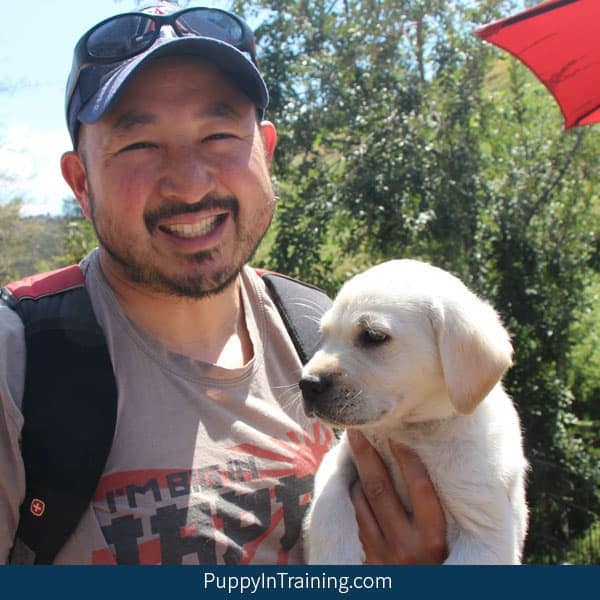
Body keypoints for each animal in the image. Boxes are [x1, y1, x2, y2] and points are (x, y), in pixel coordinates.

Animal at [302, 258, 528, 564]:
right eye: (324, 336)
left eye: (374, 336)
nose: (307, 384)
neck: (410, 429)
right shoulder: (341, 454)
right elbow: (328, 500)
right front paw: (335, 557)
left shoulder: (486, 534)